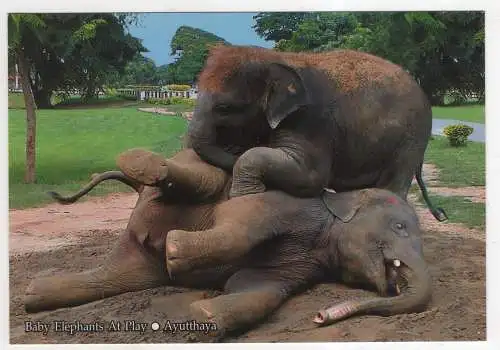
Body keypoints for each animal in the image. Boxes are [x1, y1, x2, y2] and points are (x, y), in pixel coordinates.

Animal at [24, 148, 430, 342]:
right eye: (399, 227)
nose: (319, 316)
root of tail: (138, 194)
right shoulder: (278, 204)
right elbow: (240, 228)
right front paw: (175, 251)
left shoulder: (300, 265)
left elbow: (259, 290)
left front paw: (202, 318)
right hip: (198, 174)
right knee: (199, 175)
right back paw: (140, 164)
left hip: (135, 256)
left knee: (115, 276)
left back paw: (32, 296)